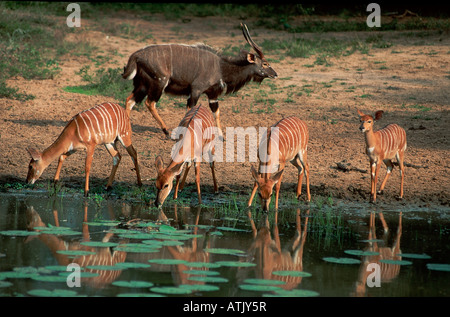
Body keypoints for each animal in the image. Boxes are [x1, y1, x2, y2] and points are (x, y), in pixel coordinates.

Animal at [124, 22, 278, 136]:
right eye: (265, 64)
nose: (275, 74)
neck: (220, 67)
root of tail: (136, 55)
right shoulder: (196, 91)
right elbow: (191, 110)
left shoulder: (213, 95)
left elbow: (216, 112)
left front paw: (221, 136)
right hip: (159, 83)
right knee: (150, 103)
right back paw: (166, 131)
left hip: (142, 86)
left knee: (130, 100)